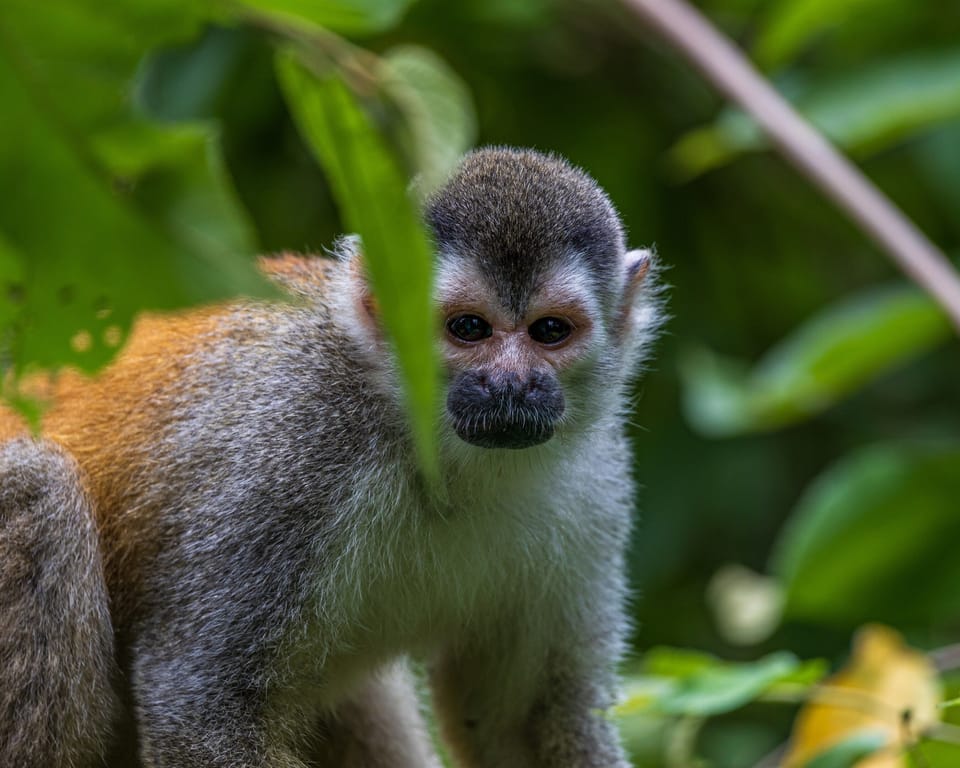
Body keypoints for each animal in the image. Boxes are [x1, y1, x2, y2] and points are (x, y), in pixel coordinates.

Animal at [0, 146, 662, 767]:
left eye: (550, 331)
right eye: (468, 328)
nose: (511, 385)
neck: (437, 457)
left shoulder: (595, 484)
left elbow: (522, 722)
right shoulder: (292, 456)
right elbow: (201, 707)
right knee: (40, 489)